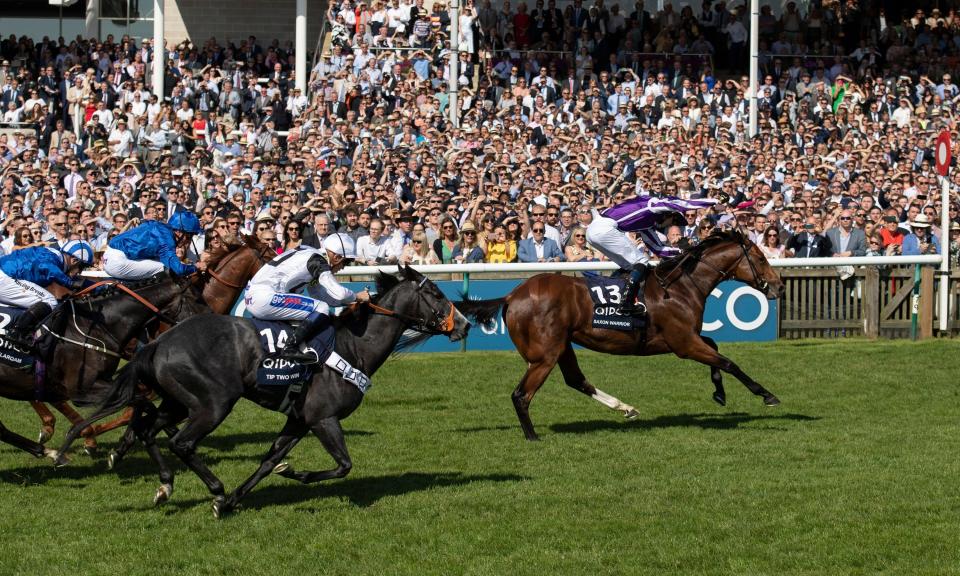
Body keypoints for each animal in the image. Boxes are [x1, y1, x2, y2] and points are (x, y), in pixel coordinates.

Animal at [55, 266, 468, 516]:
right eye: (435, 291)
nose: (463, 323)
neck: (354, 347)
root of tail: (158, 342)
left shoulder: (300, 419)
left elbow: (269, 461)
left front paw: (245, 495)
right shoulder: (323, 417)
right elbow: (343, 465)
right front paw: (294, 475)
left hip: (177, 401)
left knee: (147, 429)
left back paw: (166, 486)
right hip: (213, 403)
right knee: (181, 442)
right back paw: (214, 488)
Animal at [458, 227, 788, 438]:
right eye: (761, 258)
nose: (779, 285)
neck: (681, 286)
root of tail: (512, 296)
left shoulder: (686, 338)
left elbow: (716, 348)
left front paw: (719, 392)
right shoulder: (684, 343)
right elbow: (729, 362)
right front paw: (767, 395)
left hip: (562, 345)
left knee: (575, 380)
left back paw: (625, 408)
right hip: (544, 355)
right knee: (521, 395)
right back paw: (532, 436)